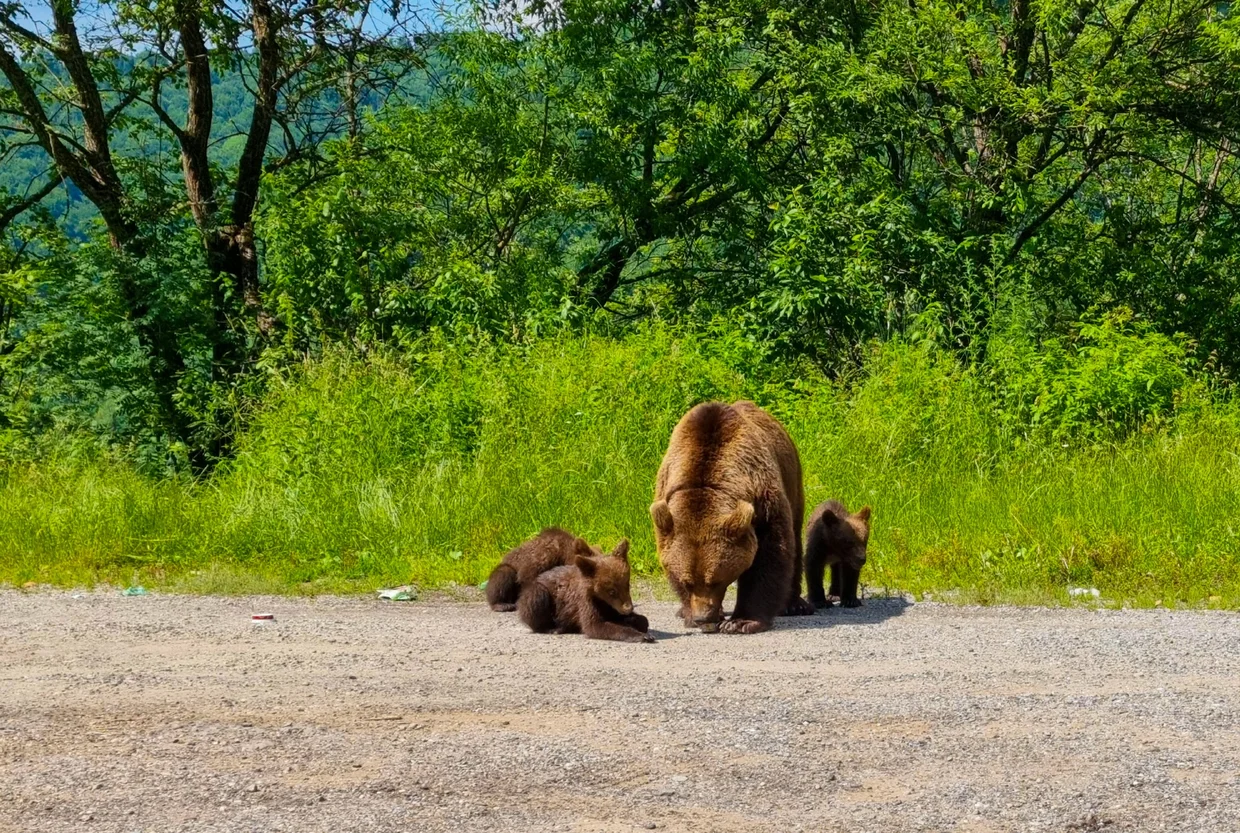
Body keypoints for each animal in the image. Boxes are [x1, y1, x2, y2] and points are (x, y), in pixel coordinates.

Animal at [517, 540, 653, 643]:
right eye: (611, 591)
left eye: (627, 585)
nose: (628, 608)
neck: (599, 598)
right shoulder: (584, 601)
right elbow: (595, 626)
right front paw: (642, 636)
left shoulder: (609, 605)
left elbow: (640, 620)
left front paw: (633, 621)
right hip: (537, 593)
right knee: (535, 599)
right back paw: (553, 628)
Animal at [649, 400, 813, 635]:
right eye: (688, 582)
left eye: (715, 581)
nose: (702, 617)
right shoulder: (666, 497)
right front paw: (689, 613)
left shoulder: (763, 499)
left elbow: (770, 554)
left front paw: (741, 621)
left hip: (793, 479)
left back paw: (794, 605)